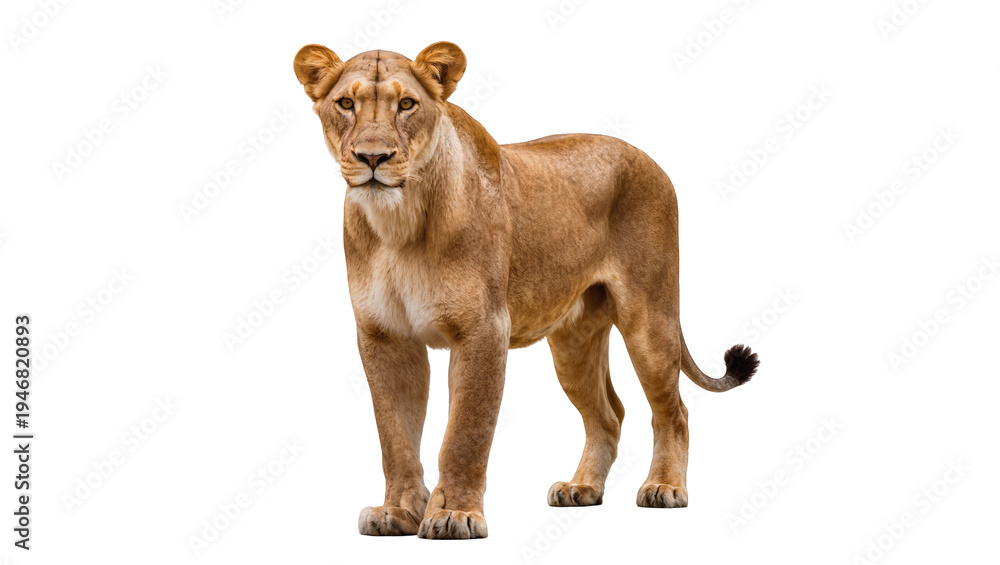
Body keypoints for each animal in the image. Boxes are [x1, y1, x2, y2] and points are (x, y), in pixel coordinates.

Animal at [293, 41, 759, 540]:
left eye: (407, 104)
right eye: (346, 103)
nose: (373, 158)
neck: (398, 223)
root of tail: (650, 159)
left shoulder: (482, 329)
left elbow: (466, 432)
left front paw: (455, 514)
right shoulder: (384, 336)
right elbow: (394, 435)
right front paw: (397, 512)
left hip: (650, 321)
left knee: (673, 411)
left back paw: (665, 487)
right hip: (573, 344)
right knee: (609, 414)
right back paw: (581, 488)